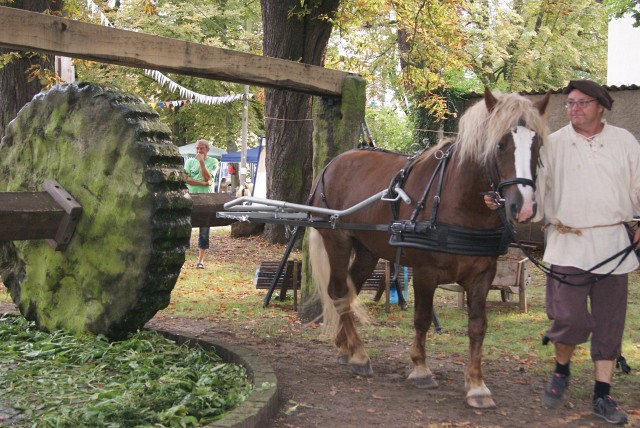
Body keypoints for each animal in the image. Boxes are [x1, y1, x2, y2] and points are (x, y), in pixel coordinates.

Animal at [308, 87, 548, 408]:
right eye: (499, 145)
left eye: (538, 144)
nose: (524, 207)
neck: (458, 202)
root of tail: (331, 164)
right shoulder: (425, 272)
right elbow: (422, 319)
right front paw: (420, 369)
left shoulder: (483, 274)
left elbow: (478, 325)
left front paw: (476, 385)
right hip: (337, 241)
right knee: (338, 292)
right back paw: (359, 355)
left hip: (367, 251)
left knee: (349, 290)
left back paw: (345, 347)